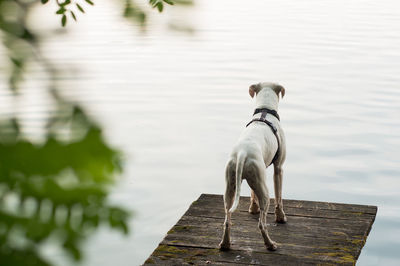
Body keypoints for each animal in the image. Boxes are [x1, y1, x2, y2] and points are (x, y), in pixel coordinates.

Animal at [219, 81, 288, 251]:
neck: (265, 111)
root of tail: (242, 153)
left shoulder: (256, 176)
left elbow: (252, 194)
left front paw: (253, 209)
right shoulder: (278, 169)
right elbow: (279, 197)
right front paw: (281, 217)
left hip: (230, 188)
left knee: (227, 220)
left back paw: (225, 244)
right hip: (264, 190)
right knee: (262, 224)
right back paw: (270, 244)